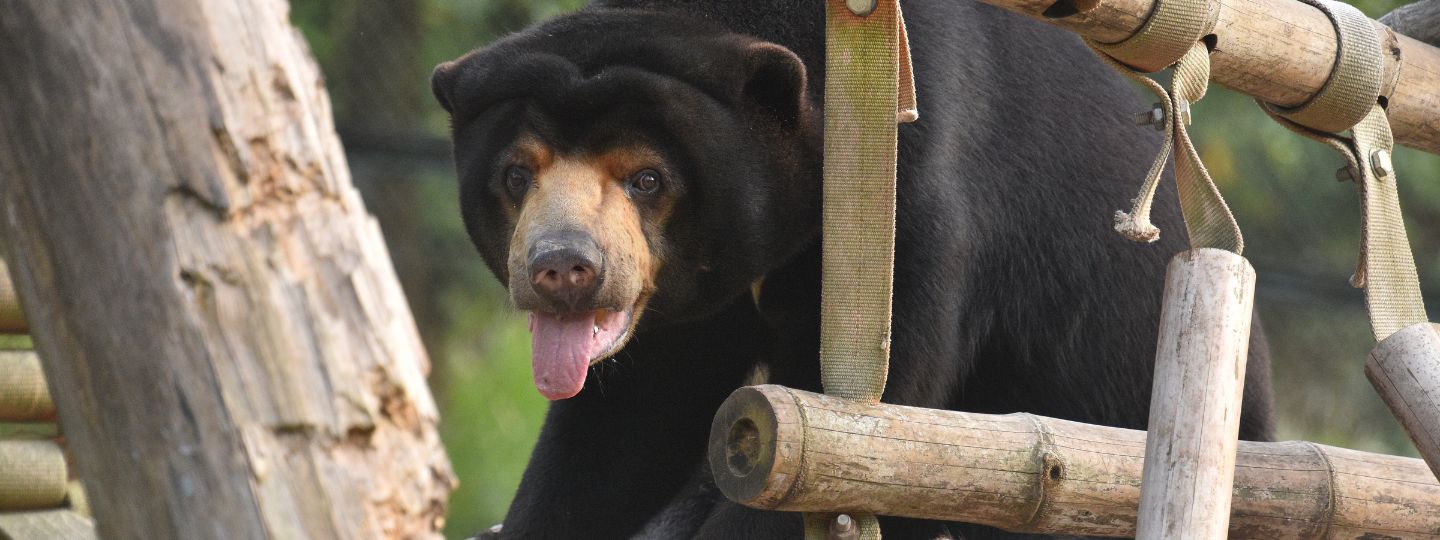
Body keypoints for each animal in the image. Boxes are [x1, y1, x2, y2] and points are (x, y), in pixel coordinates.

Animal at [430, 1, 1276, 538]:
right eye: (515, 174)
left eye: (647, 178)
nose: (563, 268)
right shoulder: (686, 310)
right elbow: (621, 432)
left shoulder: (914, 188)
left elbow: (847, 433)